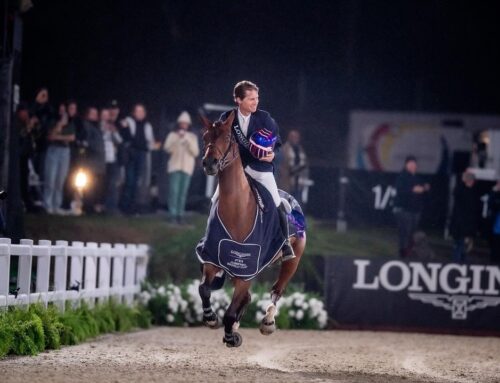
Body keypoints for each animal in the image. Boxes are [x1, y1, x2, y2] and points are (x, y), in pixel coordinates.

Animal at [197, 111, 306, 348]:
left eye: (227, 138)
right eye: (205, 137)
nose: (210, 163)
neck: (237, 209)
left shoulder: (246, 269)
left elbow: (230, 311)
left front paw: (231, 336)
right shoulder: (213, 259)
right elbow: (204, 289)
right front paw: (211, 319)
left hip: (292, 261)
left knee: (276, 291)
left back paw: (267, 322)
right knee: (246, 298)